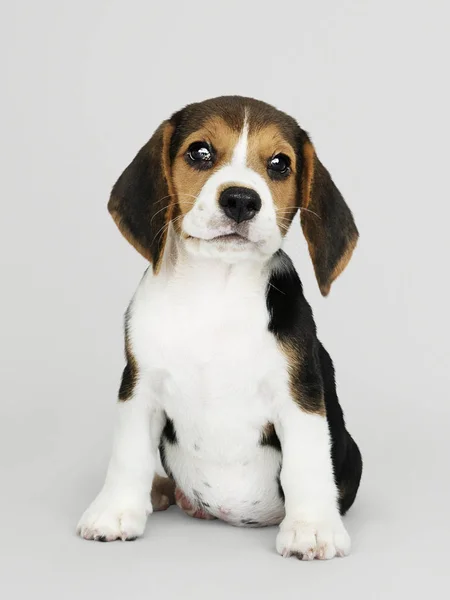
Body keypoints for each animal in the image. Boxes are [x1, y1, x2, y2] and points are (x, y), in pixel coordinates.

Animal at [76, 96, 362, 560]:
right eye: (200, 152)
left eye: (280, 163)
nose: (241, 200)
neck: (217, 288)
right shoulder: (138, 387)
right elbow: (128, 455)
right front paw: (115, 512)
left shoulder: (299, 395)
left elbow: (306, 463)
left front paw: (312, 528)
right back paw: (159, 491)